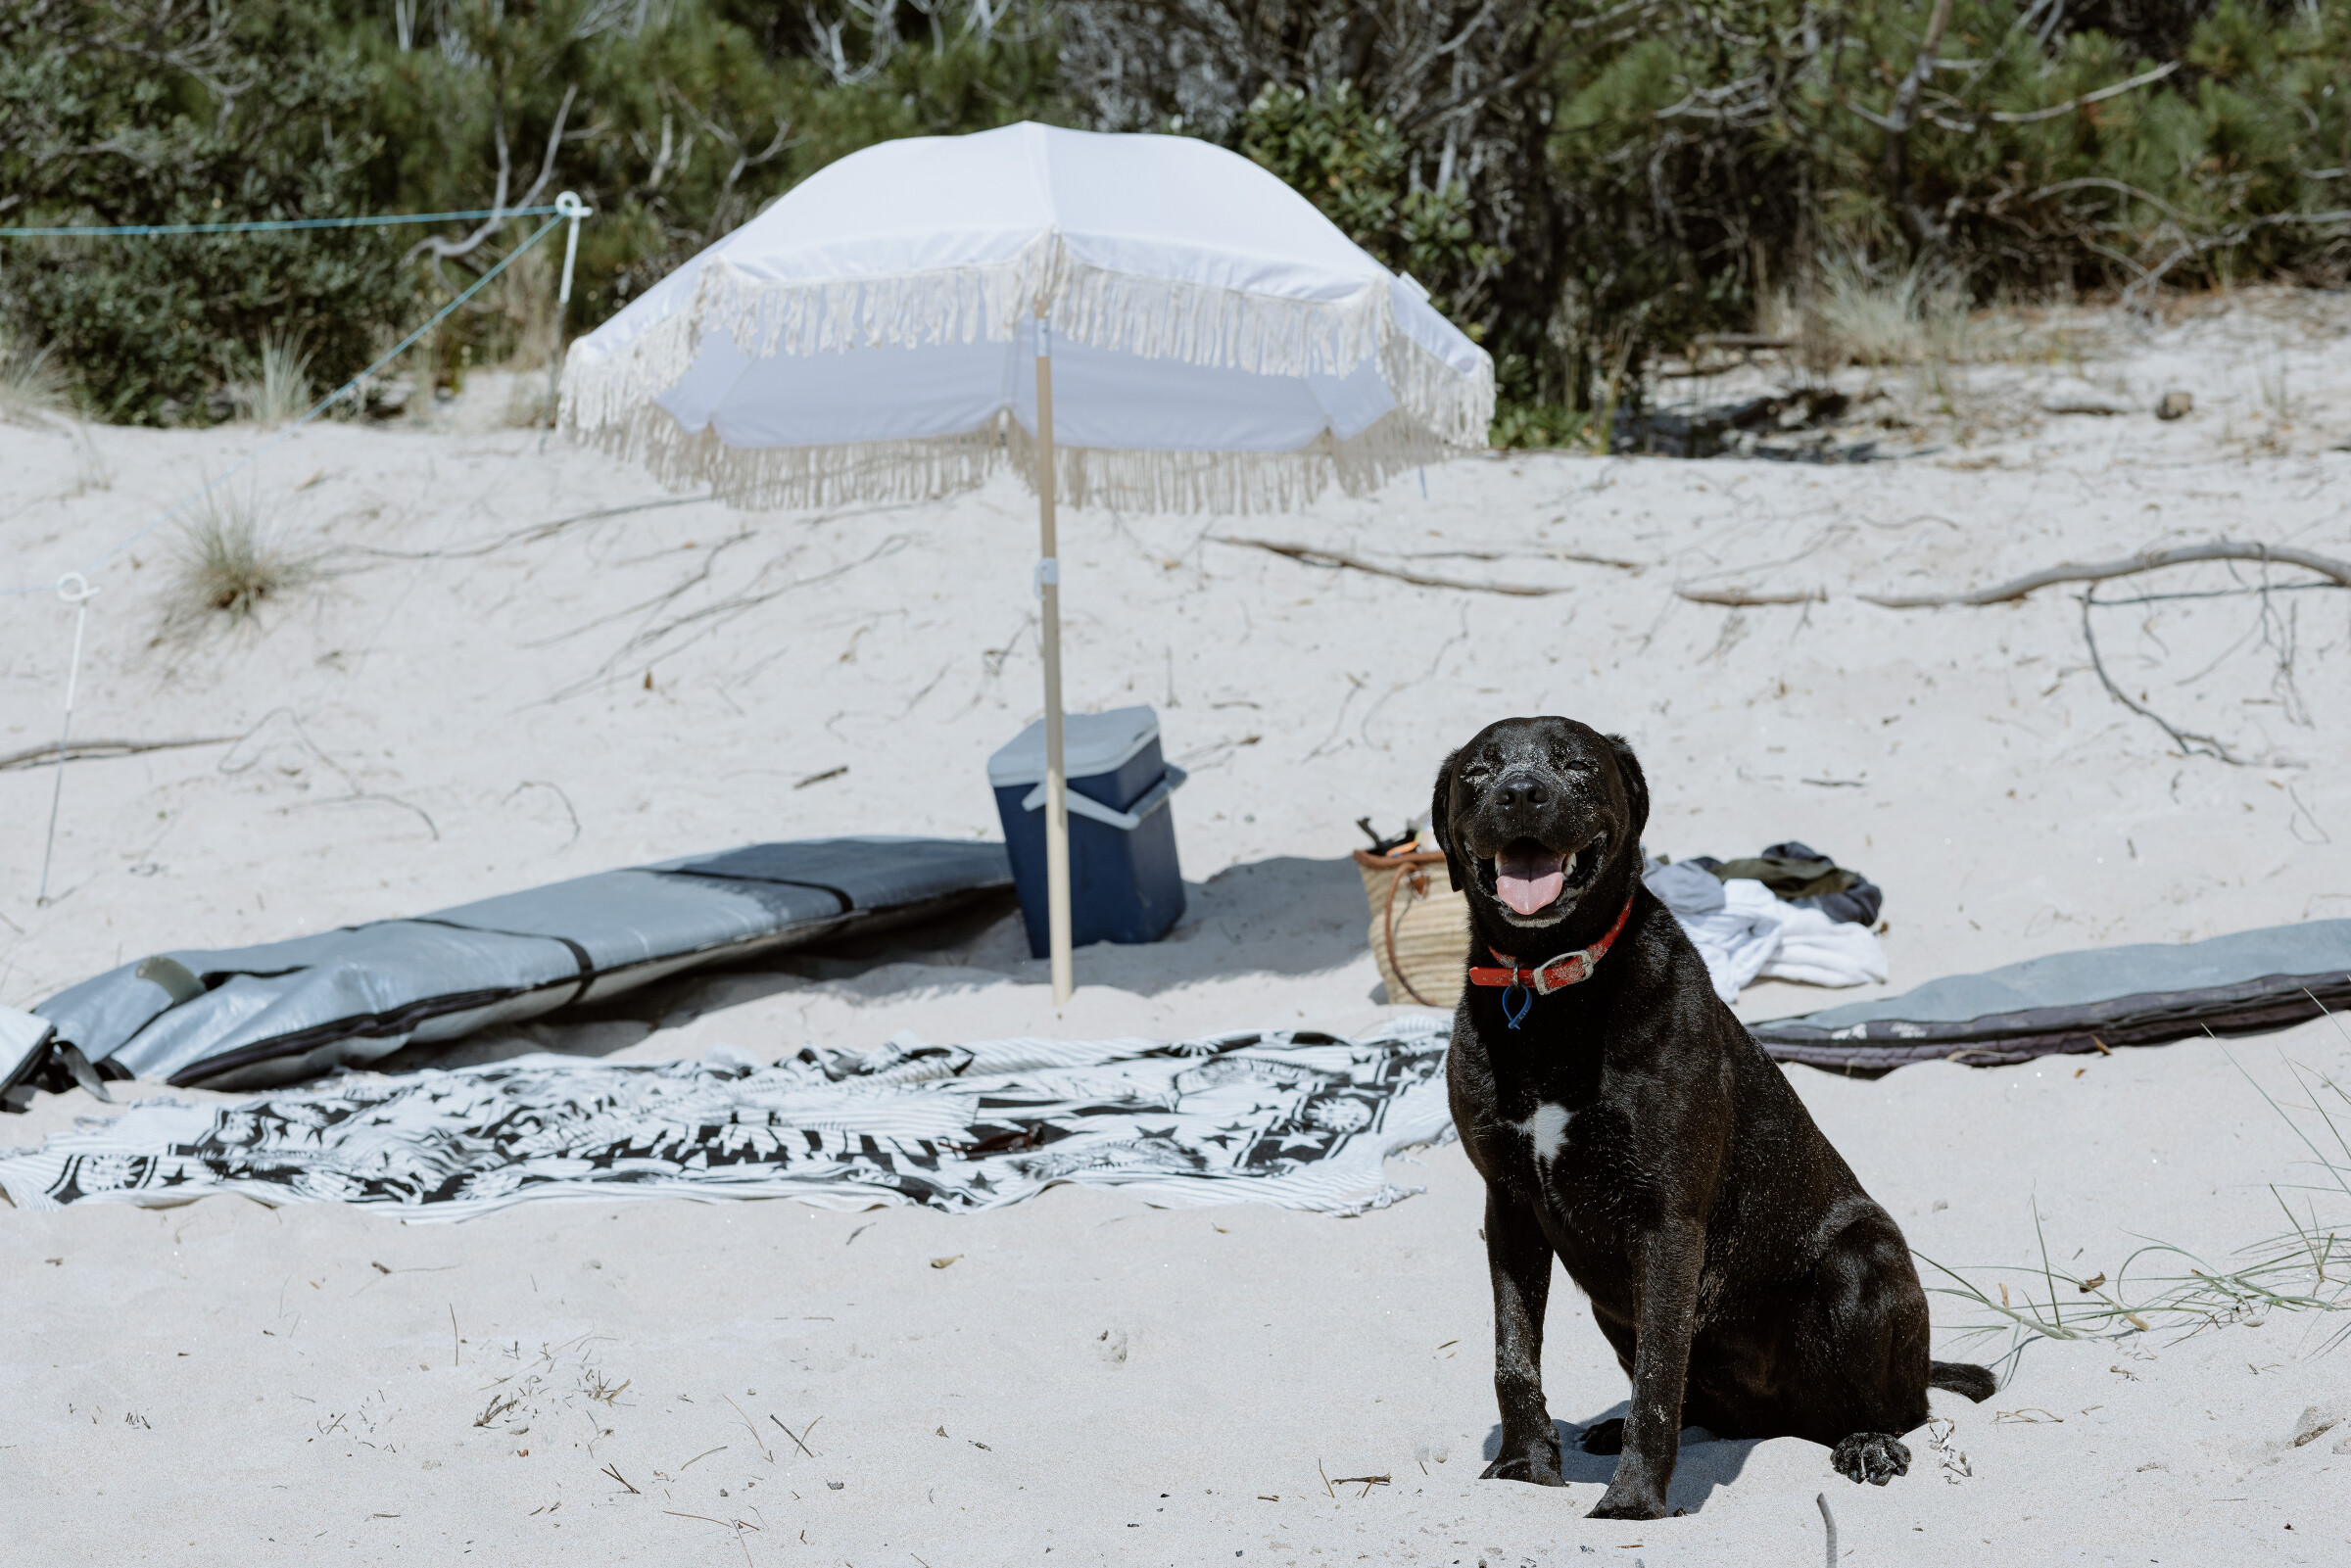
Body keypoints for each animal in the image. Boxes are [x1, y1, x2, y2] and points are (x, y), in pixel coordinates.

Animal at [1431, 715, 1994, 1520]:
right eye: (1479, 771)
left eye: (1575, 764)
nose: (1521, 792)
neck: (1549, 989)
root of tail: (1786, 1418)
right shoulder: (1508, 1209)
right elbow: (1515, 1356)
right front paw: (1524, 1464)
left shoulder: (1668, 1220)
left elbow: (1659, 1377)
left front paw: (1632, 1502)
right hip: (1613, 1307)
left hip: (1861, 1263)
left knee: (1902, 1404)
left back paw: (1869, 1440)